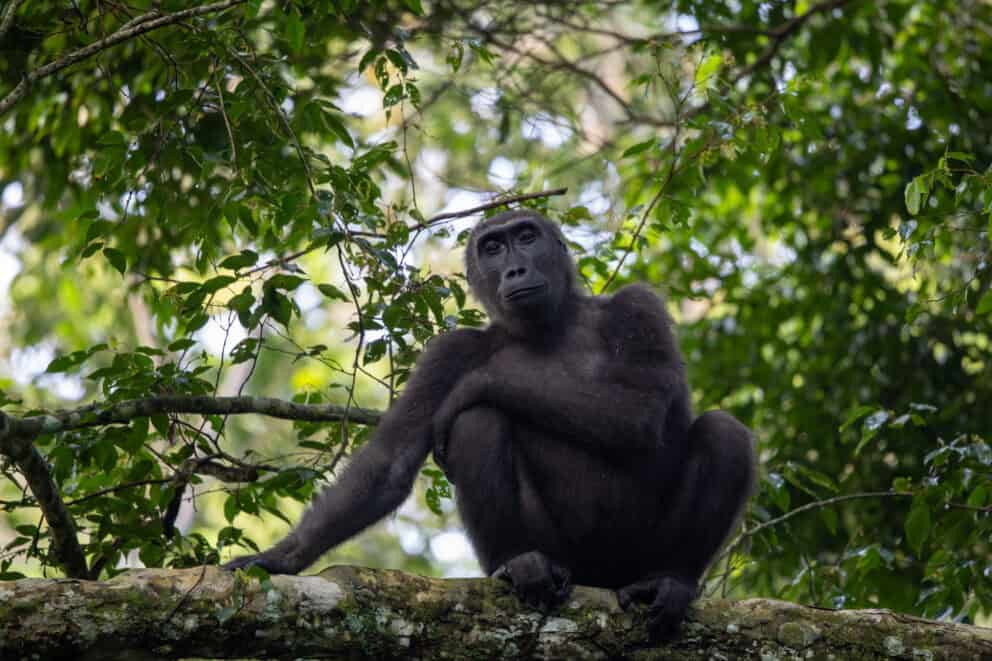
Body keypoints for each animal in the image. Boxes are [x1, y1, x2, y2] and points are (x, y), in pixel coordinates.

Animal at [225, 208, 755, 640]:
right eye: (493, 248)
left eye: (526, 237)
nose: (516, 268)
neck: (549, 325)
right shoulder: (448, 351)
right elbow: (389, 463)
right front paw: (284, 557)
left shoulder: (637, 306)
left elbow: (642, 409)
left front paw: (477, 384)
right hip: (564, 559)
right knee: (477, 424)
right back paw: (520, 562)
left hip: (634, 560)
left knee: (724, 433)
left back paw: (672, 579)